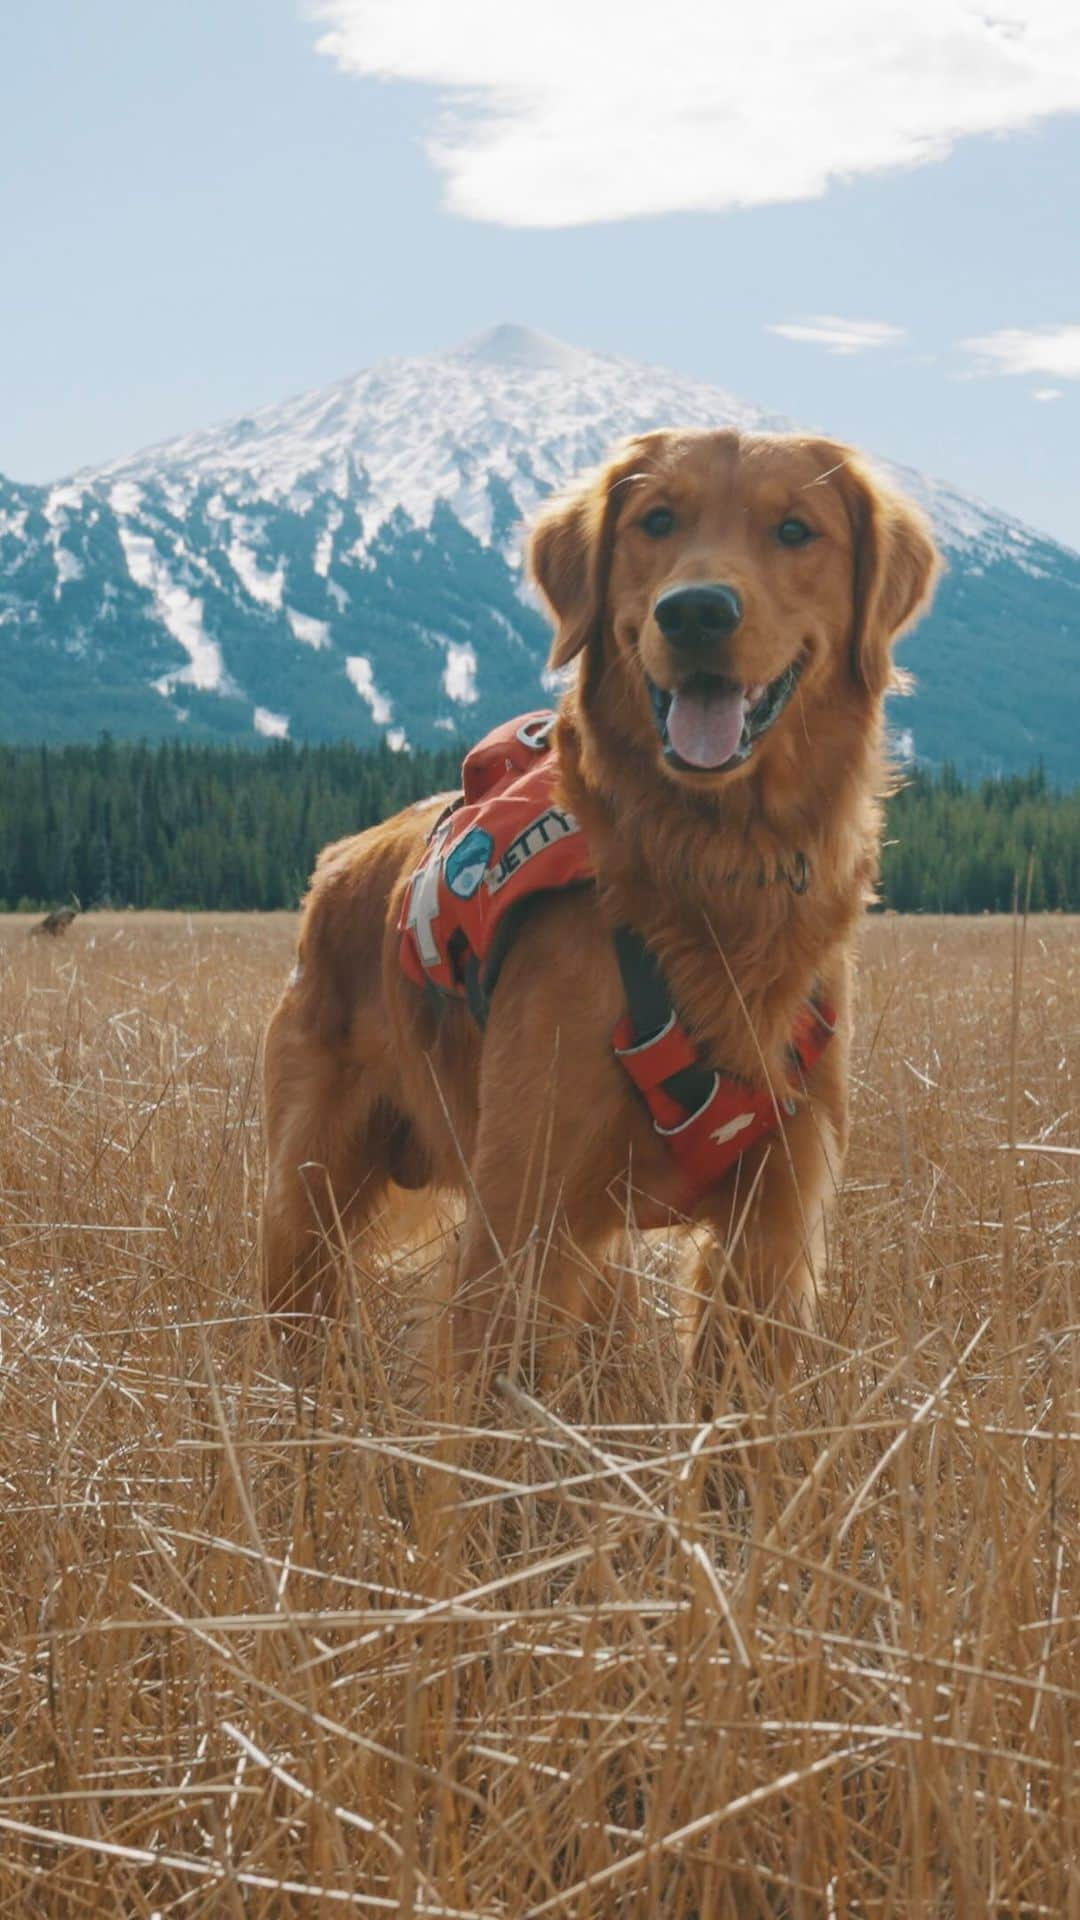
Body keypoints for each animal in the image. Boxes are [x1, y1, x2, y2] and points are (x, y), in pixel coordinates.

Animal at [259, 426, 933, 1382]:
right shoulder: (519, 1226)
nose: (696, 612)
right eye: (657, 520)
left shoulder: (771, 1226)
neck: (709, 870)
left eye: (796, 531)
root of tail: (337, 861)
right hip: (310, 1192)